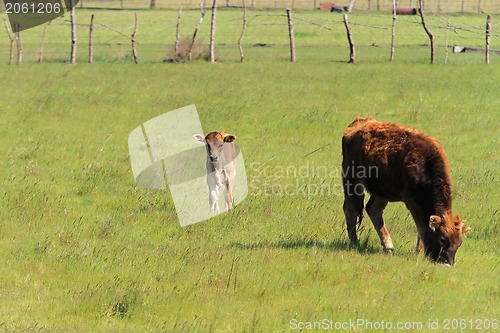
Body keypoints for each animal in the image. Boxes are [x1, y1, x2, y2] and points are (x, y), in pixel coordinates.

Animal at [342, 116, 470, 264]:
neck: (426, 163)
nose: (448, 263)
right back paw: (354, 242)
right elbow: (421, 227)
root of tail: (359, 123)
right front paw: (419, 252)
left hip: (382, 192)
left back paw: (389, 246)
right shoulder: (412, 202)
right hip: (352, 182)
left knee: (373, 209)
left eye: (459, 242)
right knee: (351, 209)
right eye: (442, 239)